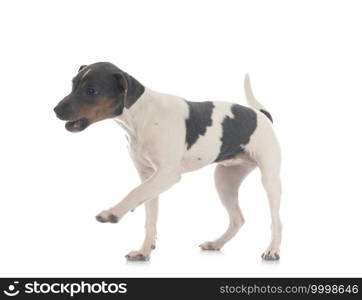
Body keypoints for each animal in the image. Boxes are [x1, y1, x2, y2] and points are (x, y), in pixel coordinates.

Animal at [53, 62, 282, 262]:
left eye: (91, 90)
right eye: (72, 85)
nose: (55, 110)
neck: (141, 115)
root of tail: (261, 115)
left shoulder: (167, 174)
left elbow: (134, 192)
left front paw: (113, 213)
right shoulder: (149, 176)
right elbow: (149, 216)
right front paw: (144, 250)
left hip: (269, 181)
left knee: (276, 220)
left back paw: (272, 250)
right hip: (225, 182)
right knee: (237, 219)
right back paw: (216, 243)